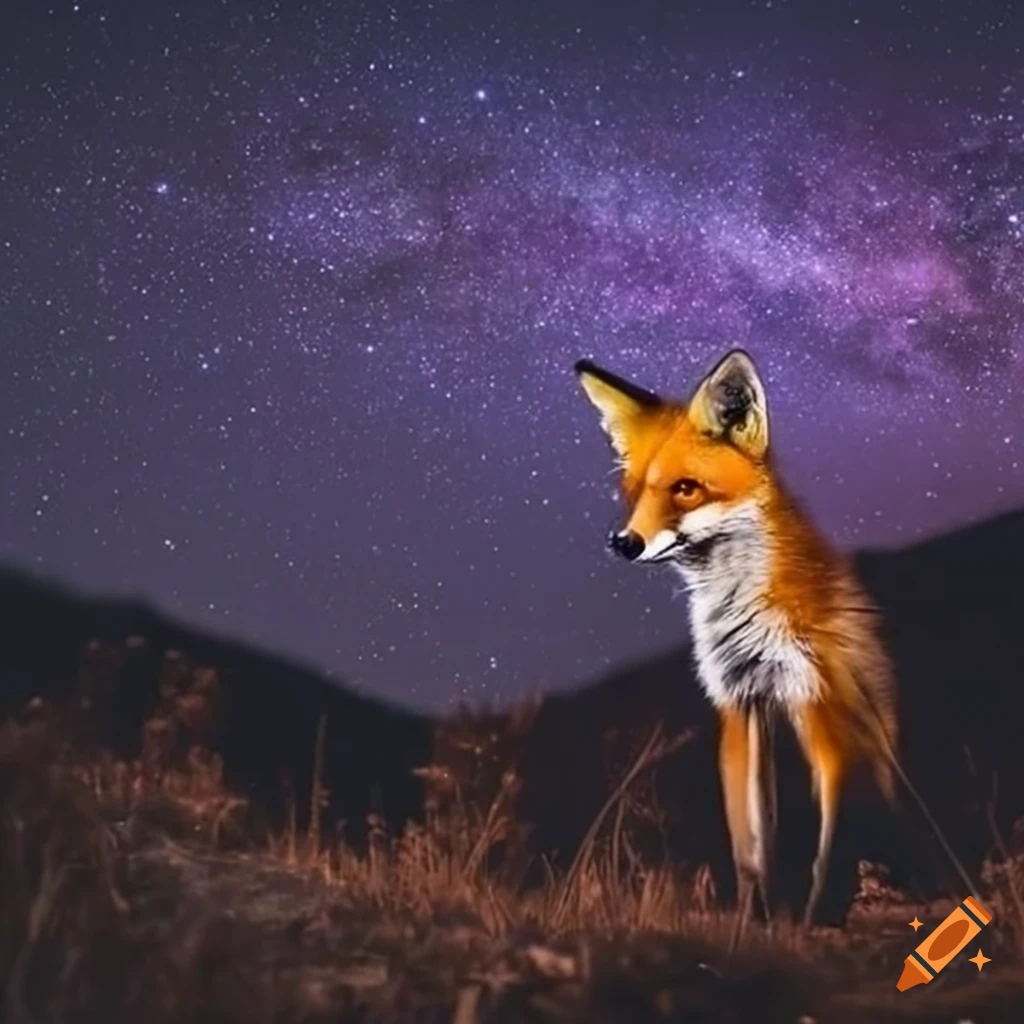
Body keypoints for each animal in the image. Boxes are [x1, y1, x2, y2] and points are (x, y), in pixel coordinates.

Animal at [573, 349, 900, 934]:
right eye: (634, 493)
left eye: (685, 488)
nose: (623, 543)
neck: (744, 612)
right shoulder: (739, 704)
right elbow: (751, 848)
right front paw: (755, 924)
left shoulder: (821, 706)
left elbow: (829, 847)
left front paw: (815, 921)